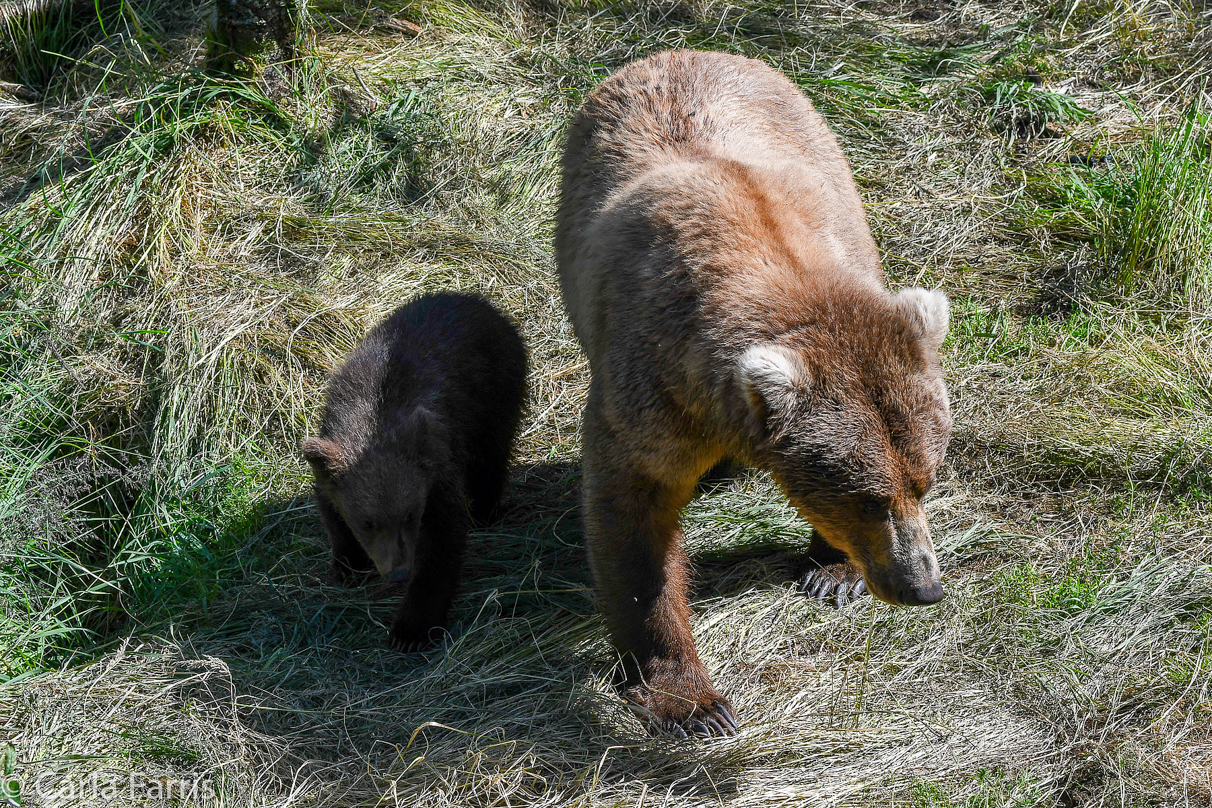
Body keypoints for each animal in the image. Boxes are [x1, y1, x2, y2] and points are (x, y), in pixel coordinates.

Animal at [303, 290, 526, 649]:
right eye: (367, 522)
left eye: (409, 515)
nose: (397, 572)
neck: (370, 422)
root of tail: (475, 299)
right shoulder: (331, 456)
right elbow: (331, 510)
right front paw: (347, 565)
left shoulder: (435, 473)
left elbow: (440, 546)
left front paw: (411, 629)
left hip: (497, 390)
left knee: (491, 455)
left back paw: (485, 509)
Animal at [555, 50, 950, 741]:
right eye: (869, 499)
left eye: (924, 482)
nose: (921, 586)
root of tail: (680, 52)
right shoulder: (652, 388)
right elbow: (634, 523)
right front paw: (692, 702)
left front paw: (832, 573)